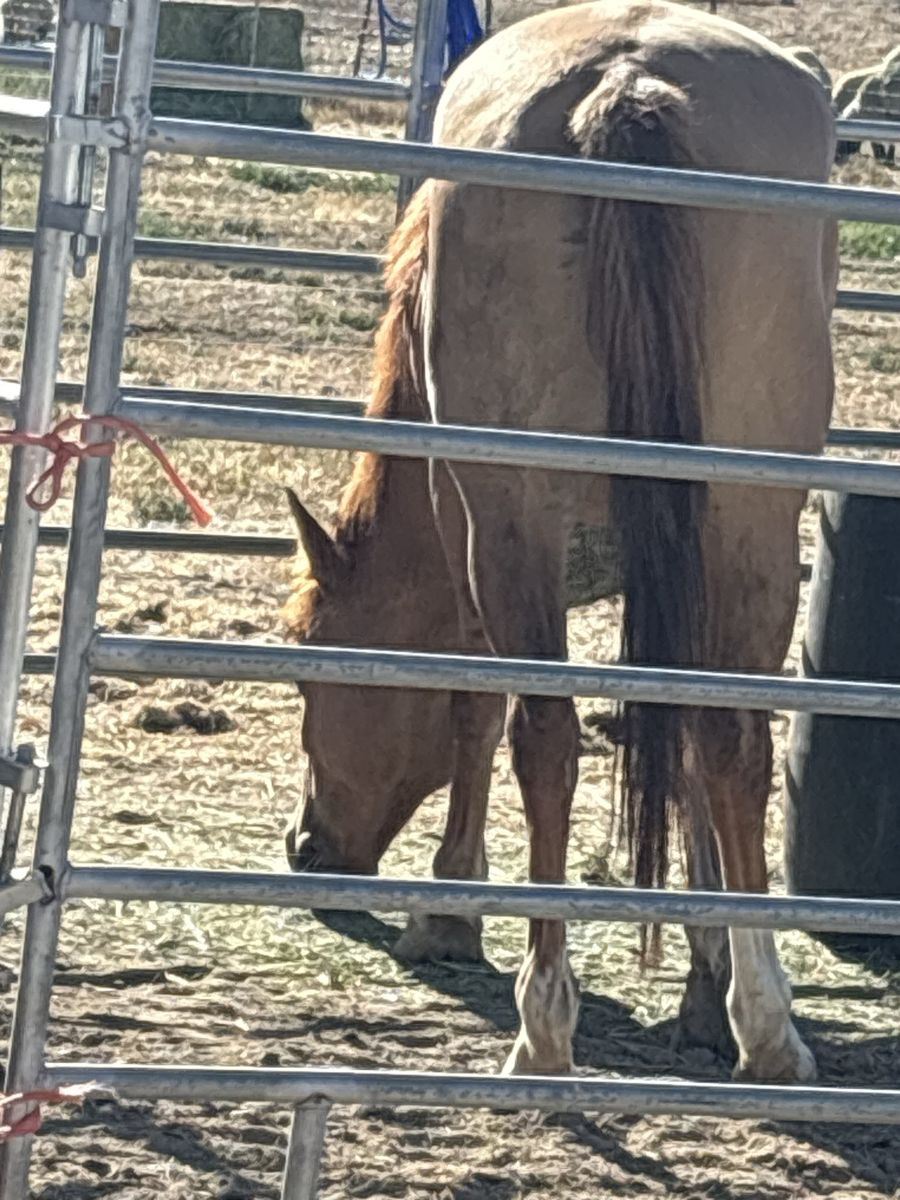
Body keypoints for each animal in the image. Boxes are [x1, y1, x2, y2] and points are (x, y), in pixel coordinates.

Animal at [282, 0, 838, 1083]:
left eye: (309, 665)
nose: (306, 847)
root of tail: (627, 82)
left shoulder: (471, 530)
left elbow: (474, 707)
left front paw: (450, 909)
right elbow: (683, 741)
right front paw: (706, 980)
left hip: (516, 522)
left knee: (544, 737)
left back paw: (544, 1023)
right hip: (747, 513)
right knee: (730, 737)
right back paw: (764, 1026)